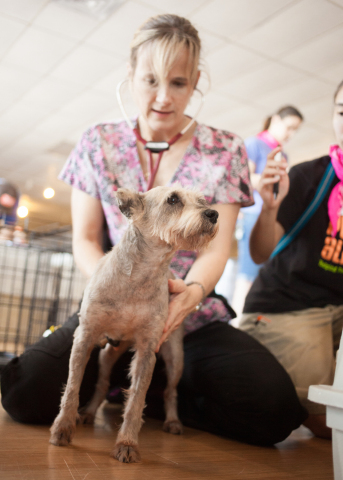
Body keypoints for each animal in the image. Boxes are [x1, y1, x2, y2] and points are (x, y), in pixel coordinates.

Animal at [49, 186, 219, 464]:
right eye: (173, 199)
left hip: (175, 358)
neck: (140, 276)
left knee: (170, 392)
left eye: (203, 200)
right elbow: (72, 387)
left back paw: (173, 421)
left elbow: (136, 400)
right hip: (107, 355)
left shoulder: (147, 351)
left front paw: (126, 444)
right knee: (102, 384)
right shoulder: (84, 337)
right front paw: (62, 429)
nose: (213, 213)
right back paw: (89, 413)